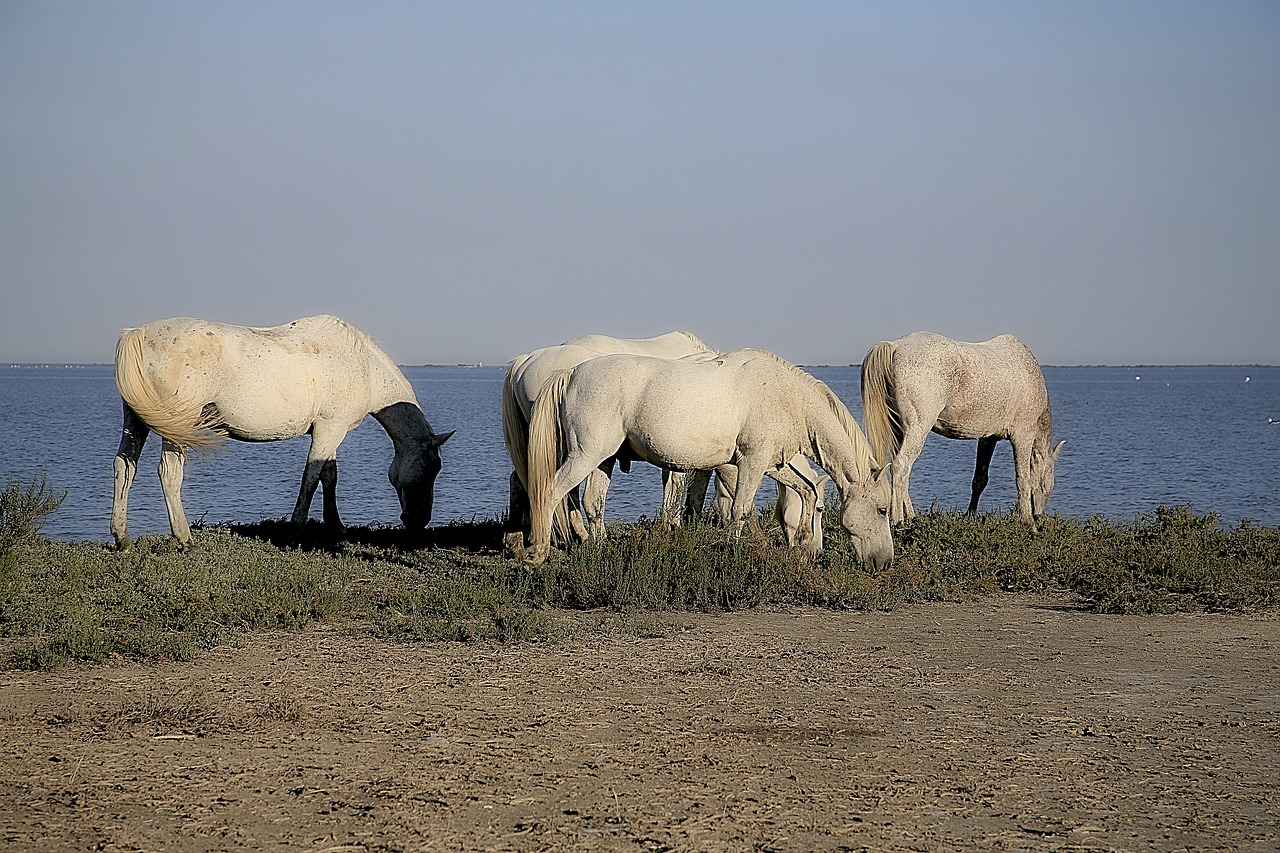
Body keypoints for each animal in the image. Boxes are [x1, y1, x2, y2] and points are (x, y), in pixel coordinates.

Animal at [112, 315, 455, 548]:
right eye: (431, 470)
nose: (418, 522)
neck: (363, 366)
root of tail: (138, 334)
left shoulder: (330, 430)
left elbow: (329, 476)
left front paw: (336, 526)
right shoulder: (331, 428)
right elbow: (312, 477)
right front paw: (295, 531)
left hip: (136, 420)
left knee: (124, 467)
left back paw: (122, 538)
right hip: (177, 428)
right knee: (169, 474)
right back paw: (185, 539)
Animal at [519, 348, 890, 568]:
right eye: (883, 510)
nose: (884, 563)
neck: (787, 397)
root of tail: (572, 373)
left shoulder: (771, 463)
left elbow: (806, 490)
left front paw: (801, 545)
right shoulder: (750, 464)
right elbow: (739, 510)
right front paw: (731, 554)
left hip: (603, 460)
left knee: (593, 504)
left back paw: (599, 553)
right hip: (585, 455)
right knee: (550, 494)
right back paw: (537, 555)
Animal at [860, 327, 1059, 527]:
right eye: (1047, 484)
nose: (1038, 516)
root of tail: (895, 346)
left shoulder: (988, 438)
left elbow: (980, 479)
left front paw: (970, 515)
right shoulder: (1023, 436)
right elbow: (1023, 479)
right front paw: (1028, 523)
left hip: (899, 430)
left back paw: (911, 516)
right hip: (917, 430)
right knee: (901, 466)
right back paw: (898, 520)